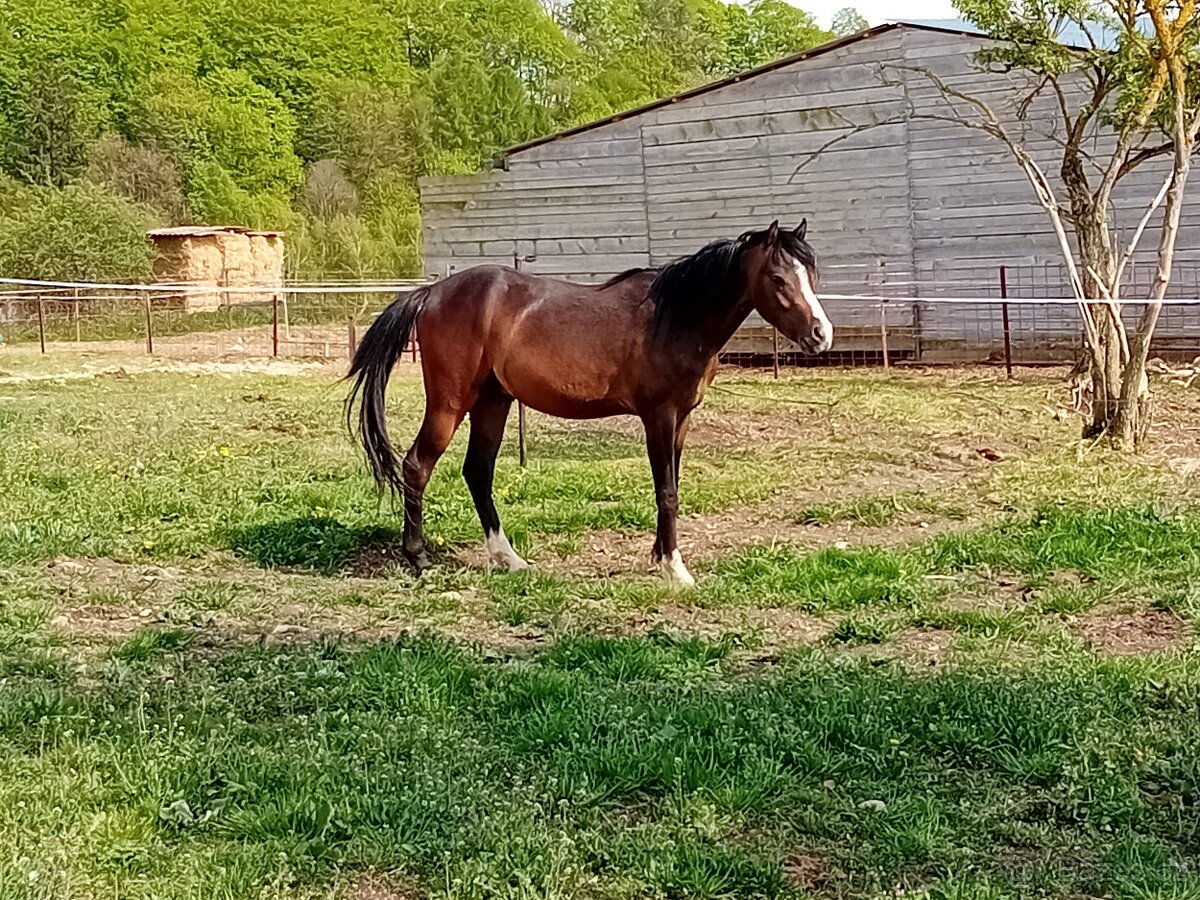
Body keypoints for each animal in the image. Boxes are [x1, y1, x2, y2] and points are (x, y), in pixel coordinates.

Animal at [346, 219, 831, 585]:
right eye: (777, 278)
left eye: (812, 274)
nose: (821, 334)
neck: (676, 315)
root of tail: (431, 293)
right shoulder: (659, 415)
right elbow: (667, 491)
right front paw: (674, 569)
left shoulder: (682, 419)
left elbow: (671, 486)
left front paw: (660, 555)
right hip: (450, 403)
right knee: (417, 465)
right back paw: (418, 558)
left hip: (493, 402)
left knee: (477, 472)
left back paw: (509, 559)